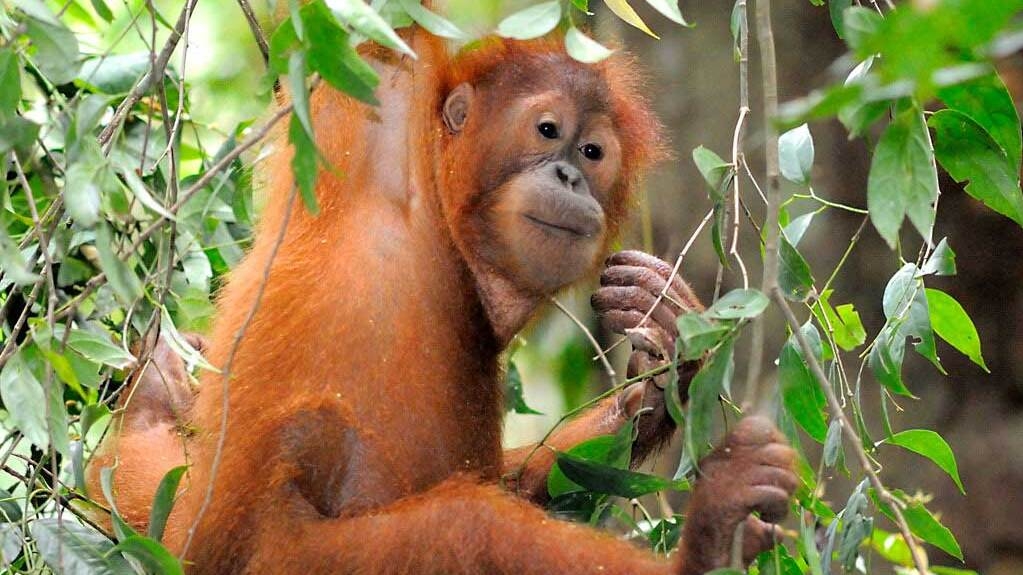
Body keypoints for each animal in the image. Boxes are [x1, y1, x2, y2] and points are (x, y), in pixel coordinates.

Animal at [88, 27, 797, 575]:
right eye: (548, 130)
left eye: (593, 152)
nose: (570, 175)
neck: (448, 234)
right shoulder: (381, 111)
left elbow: (544, 477)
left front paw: (664, 349)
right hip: (285, 558)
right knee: (467, 527)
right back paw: (710, 544)